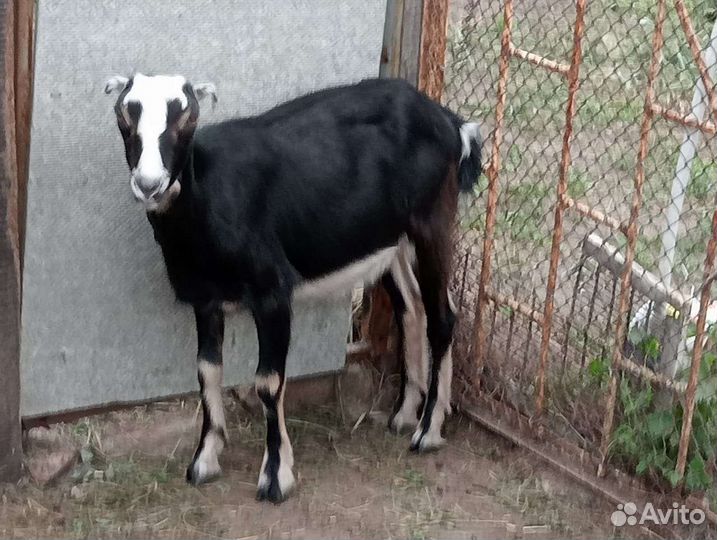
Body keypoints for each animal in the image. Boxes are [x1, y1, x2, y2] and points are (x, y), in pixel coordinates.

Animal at [105, 73, 482, 503]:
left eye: (186, 116)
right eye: (124, 113)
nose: (149, 184)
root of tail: (449, 122)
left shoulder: (272, 292)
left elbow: (268, 383)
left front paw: (275, 477)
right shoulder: (205, 298)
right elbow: (207, 372)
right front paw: (204, 461)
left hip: (432, 221)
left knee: (442, 317)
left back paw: (427, 432)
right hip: (391, 239)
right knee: (412, 308)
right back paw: (403, 415)